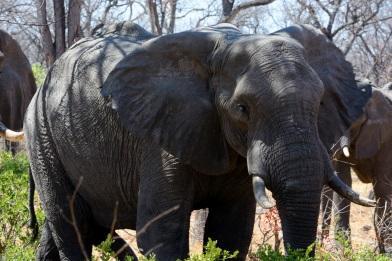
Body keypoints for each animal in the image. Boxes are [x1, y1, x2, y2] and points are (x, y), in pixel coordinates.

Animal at [24, 21, 374, 258]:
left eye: (320, 103)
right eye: (242, 109)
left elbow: (231, 233)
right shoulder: (161, 138)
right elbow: (163, 236)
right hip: (41, 136)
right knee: (70, 224)